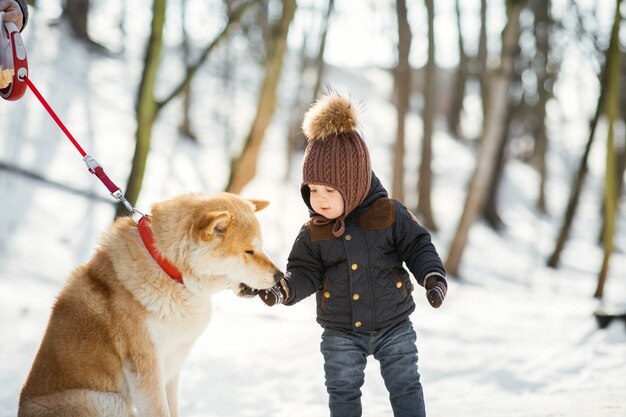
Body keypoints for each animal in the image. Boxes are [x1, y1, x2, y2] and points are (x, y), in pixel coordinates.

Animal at [18, 192, 282, 416]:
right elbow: (160, 411)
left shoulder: (172, 368)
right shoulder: (147, 370)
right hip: (104, 400)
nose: (280, 275)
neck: (169, 271)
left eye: (260, 247)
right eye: (249, 251)